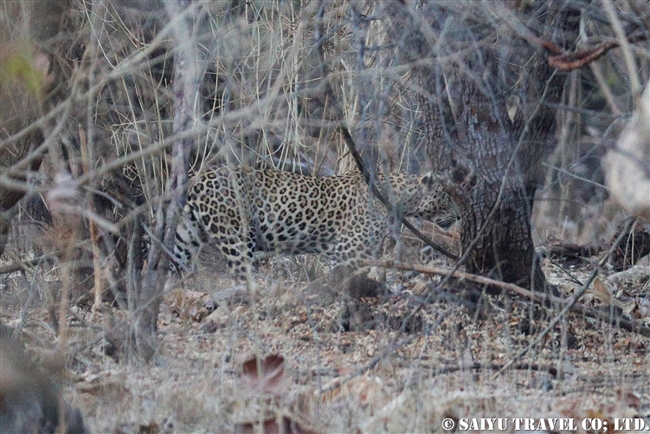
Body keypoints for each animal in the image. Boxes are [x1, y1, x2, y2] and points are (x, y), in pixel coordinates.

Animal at [172, 166, 456, 278]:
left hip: (187, 234)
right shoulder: (349, 250)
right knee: (241, 274)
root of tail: (198, 178)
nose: (460, 215)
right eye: (447, 196)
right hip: (237, 237)